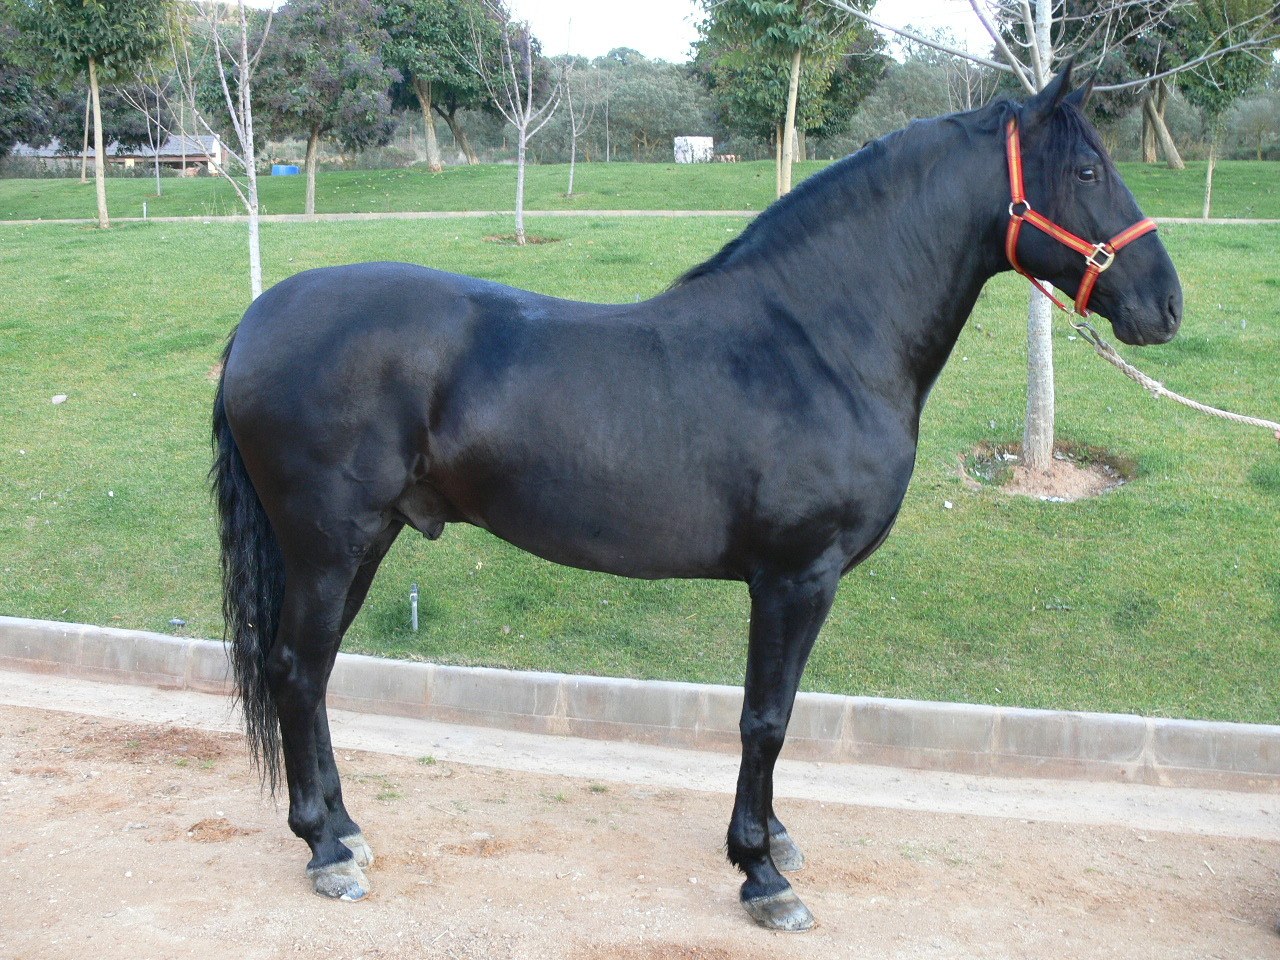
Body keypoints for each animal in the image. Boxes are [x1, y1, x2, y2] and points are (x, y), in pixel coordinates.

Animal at [211, 65, 1181, 932]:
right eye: (1086, 170)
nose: (1166, 304)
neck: (820, 344)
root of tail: (257, 320)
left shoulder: (799, 582)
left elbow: (778, 714)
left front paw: (776, 841)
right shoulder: (795, 578)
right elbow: (766, 719)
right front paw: (761, 875)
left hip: (364, 543)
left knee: (315, 674)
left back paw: (346, 831)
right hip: (329, 545)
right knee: (296, 670)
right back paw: (324, 850)